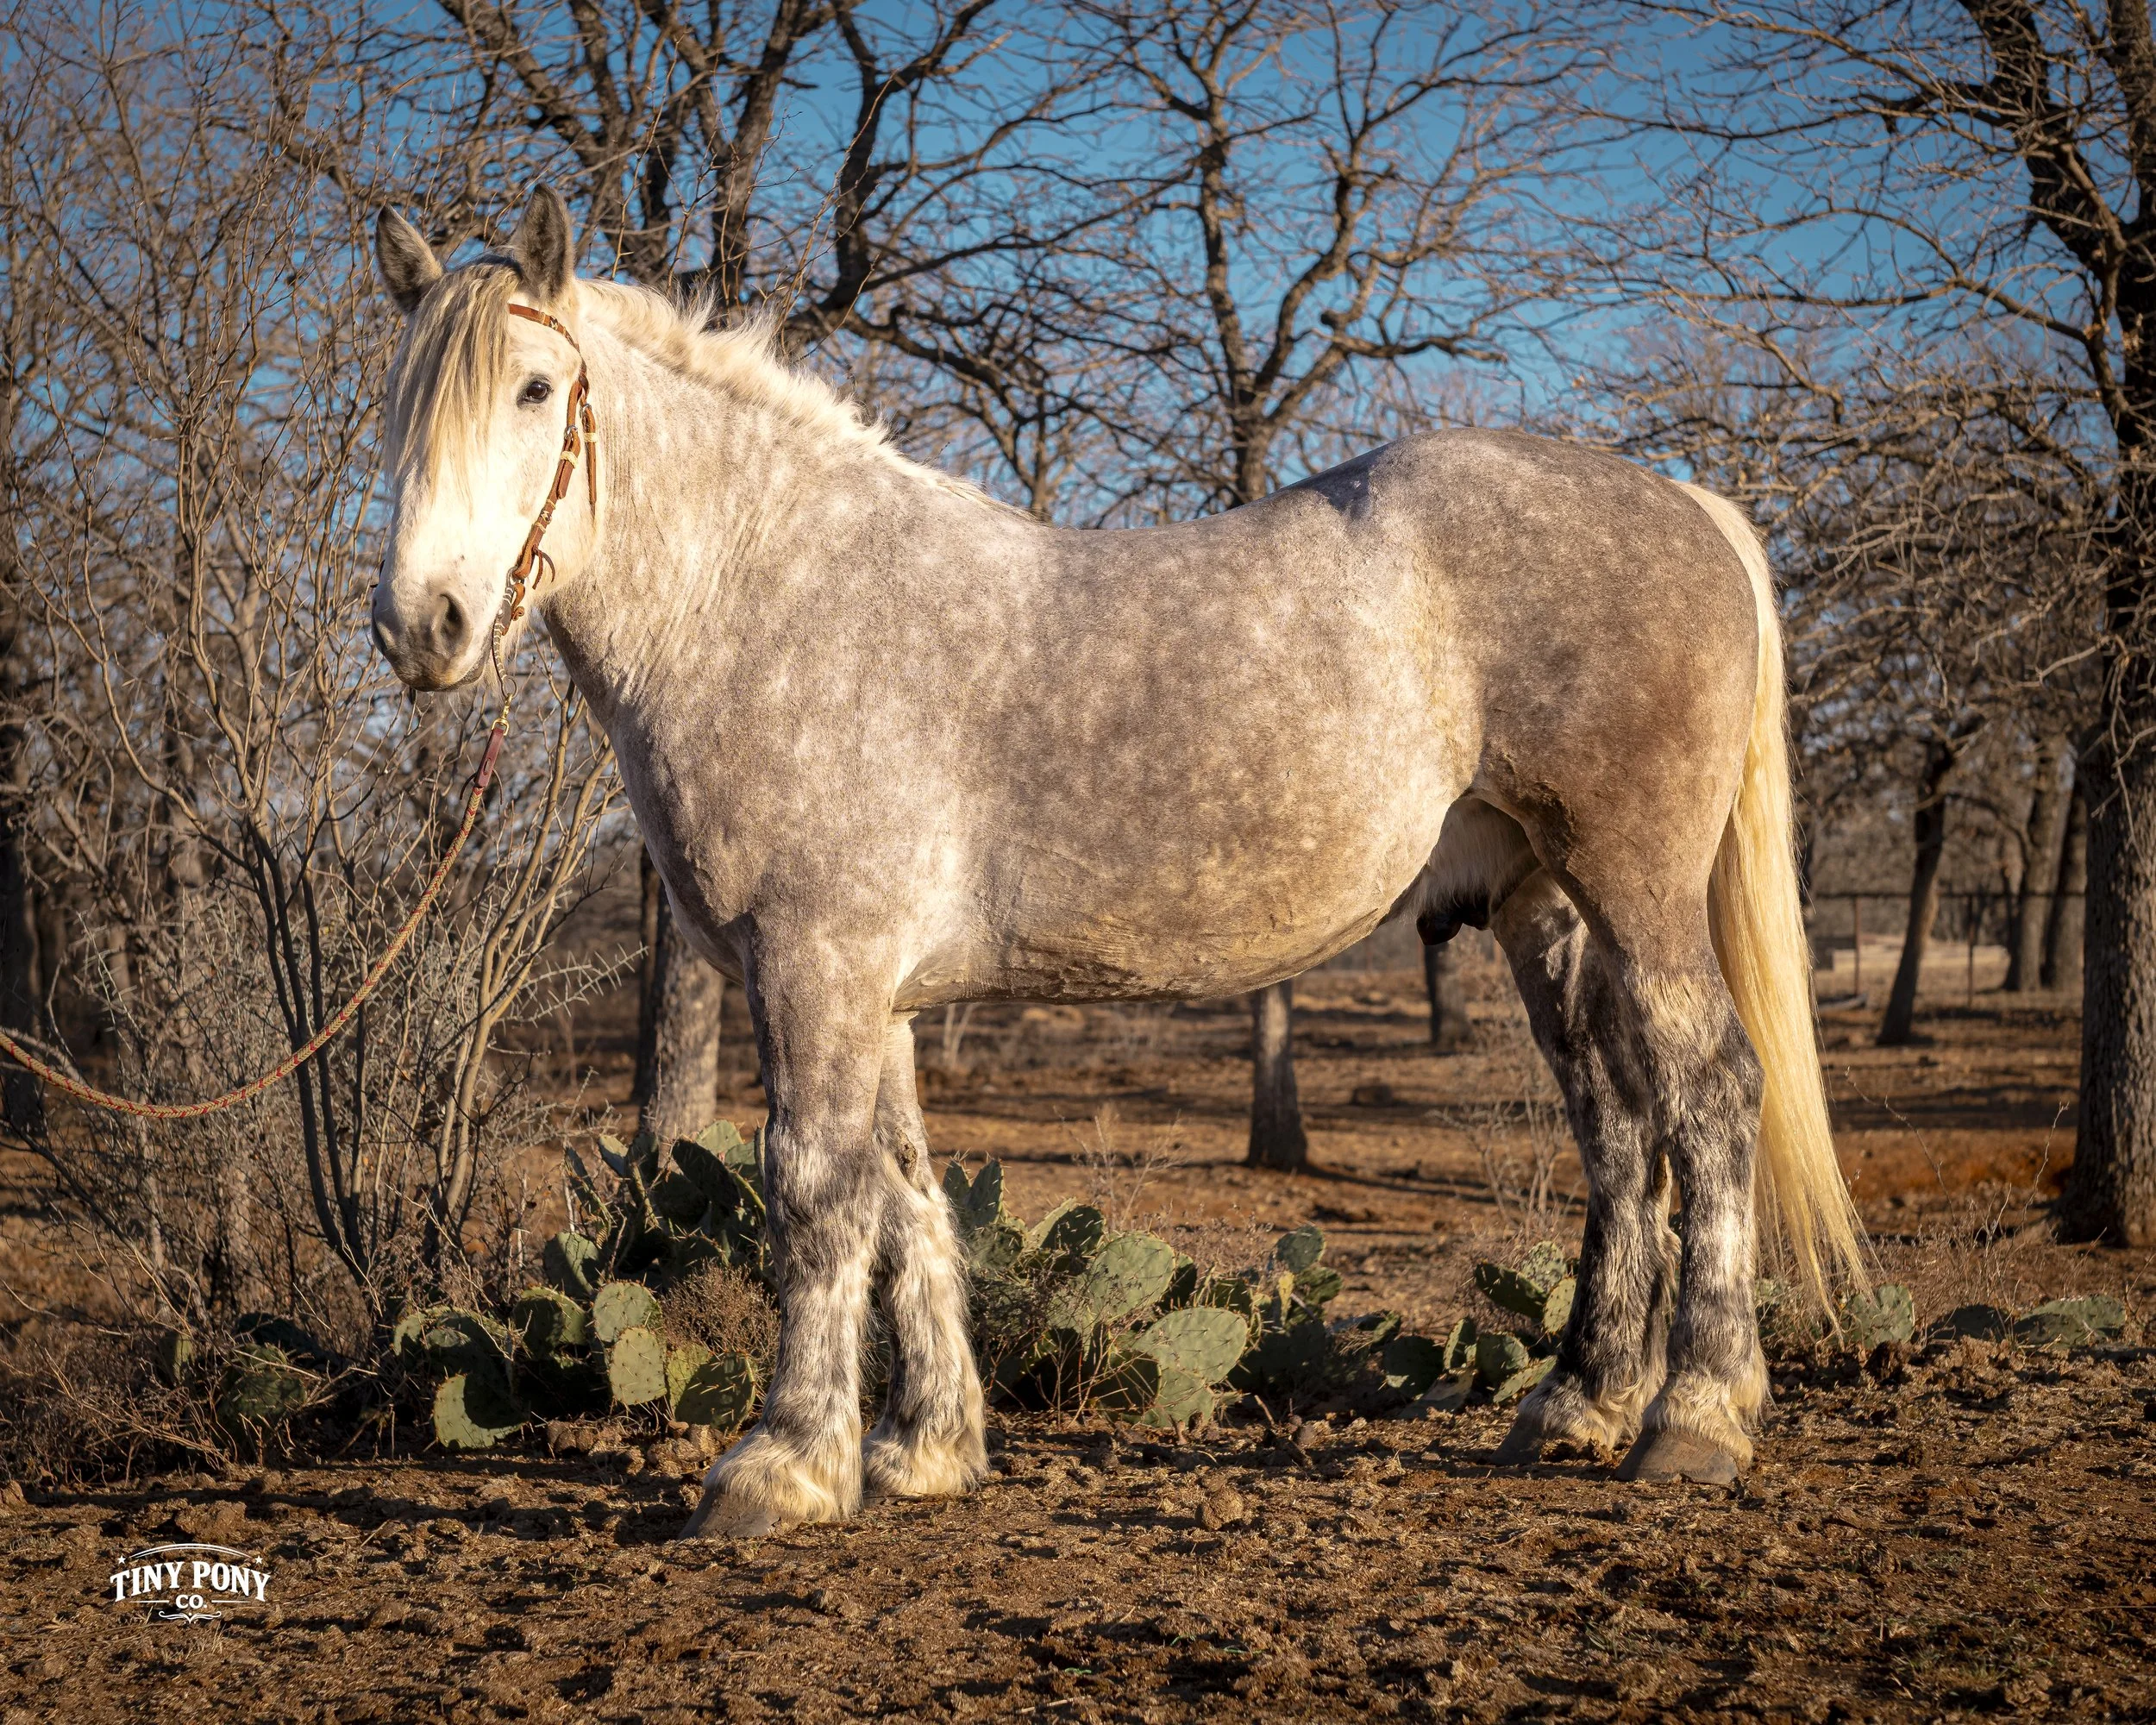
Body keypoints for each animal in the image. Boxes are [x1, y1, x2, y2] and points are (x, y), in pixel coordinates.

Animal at [369, 185, 1864, 1536]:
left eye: (537, 389)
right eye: (402, 404)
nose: (420, 624)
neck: (775, 599)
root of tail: (1687, 503)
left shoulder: (814, 971)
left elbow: (813, 1193)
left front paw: (782, 1468)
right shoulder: (876, 995)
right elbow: (907, 1195)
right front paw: (923, 1451)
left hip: (1637, 890)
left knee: (1710, 1098)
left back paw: (1696, 1419)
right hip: (1541, 907)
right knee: (1615, 1124)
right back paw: (1581, 1403)